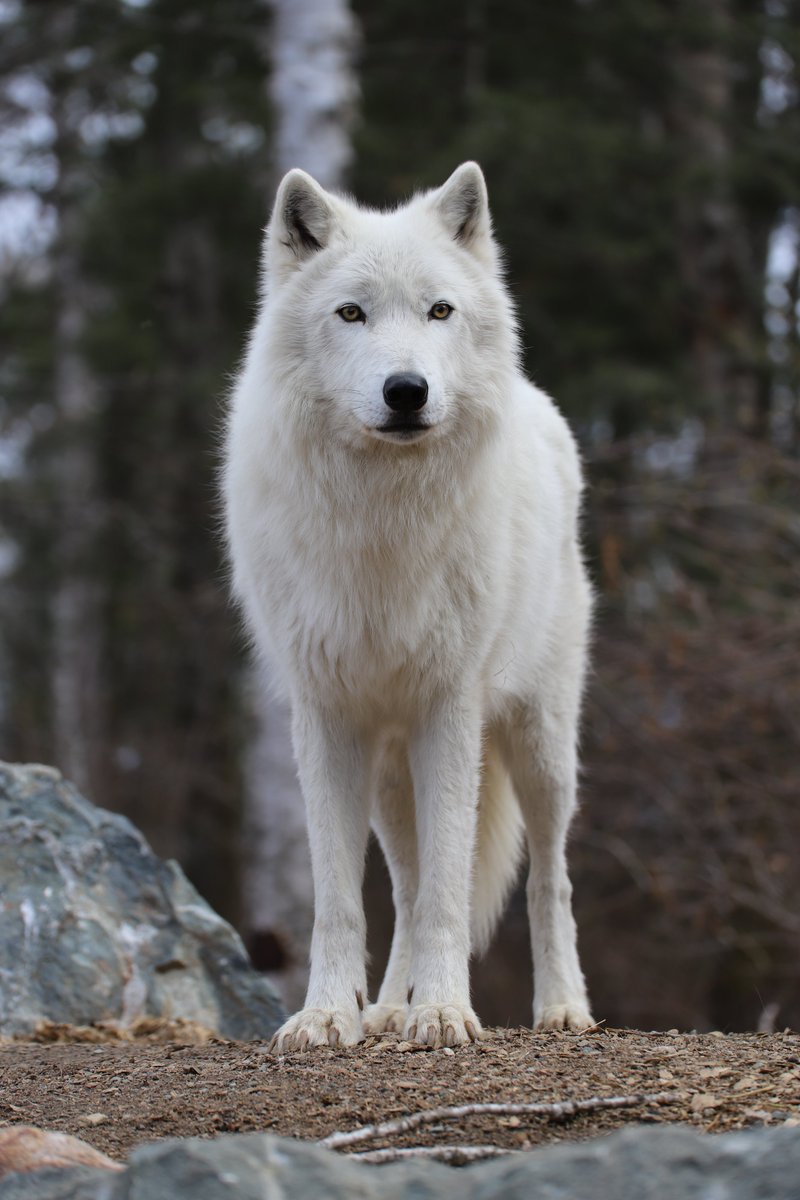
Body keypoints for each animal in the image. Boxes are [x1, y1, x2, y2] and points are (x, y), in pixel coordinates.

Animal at [221, 162, 592, 1051]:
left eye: (439, 311)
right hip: (390, 775)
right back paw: (389, 1007)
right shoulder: (325, 717)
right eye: (352, 313)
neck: (380, 526)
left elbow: (453, 891)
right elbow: (343, 899)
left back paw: (562, 1007)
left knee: (547, 879)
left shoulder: (448, 709)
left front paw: (447, 1013)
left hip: (540, 744)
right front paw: (328, 1016)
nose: (406, 391)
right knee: (407, 883)